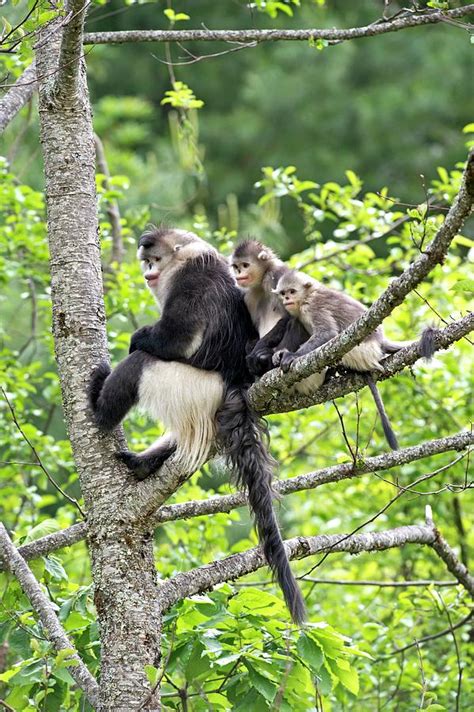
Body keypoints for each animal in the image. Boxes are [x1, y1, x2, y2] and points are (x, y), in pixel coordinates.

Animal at [88, 228, 304, 624]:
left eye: (154, 260)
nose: (148, 273)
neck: (183, 256)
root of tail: (235, 381)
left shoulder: (191, 280)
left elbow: (178, 336)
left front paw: (138, 338)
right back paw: (147, 461)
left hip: (191, 386)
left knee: (141, 363)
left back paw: (100, 407)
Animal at [274, 270, 412, 448]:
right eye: (283, 293)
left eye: (292, 292)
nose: (286, 299)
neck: (307, 296)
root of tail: (380, 342)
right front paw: (280, 354)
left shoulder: (314, 306)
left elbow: (328, 333)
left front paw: (291, 356)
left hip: (358, 351)